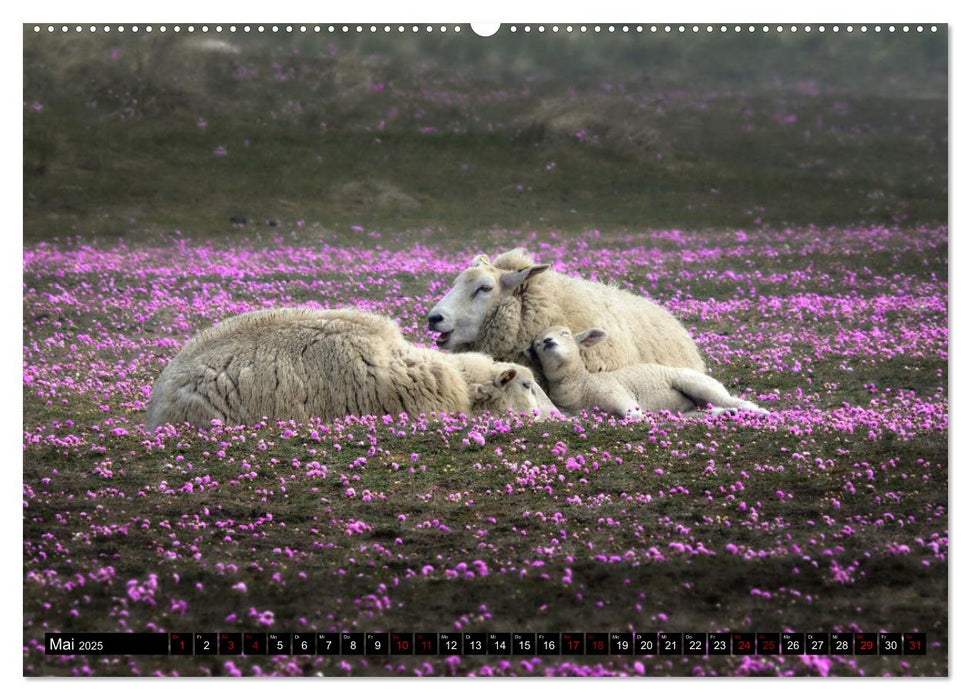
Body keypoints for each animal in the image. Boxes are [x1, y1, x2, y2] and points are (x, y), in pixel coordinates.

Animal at [524, 326, 768, 418]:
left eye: (565, 332)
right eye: (536, 344)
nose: (548, 341)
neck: (580, 384)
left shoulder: (617, 393)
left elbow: (634, 414)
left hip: (698, 383)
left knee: (733, 399)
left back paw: (758, 411)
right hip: (690, 406)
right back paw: (727, 414)